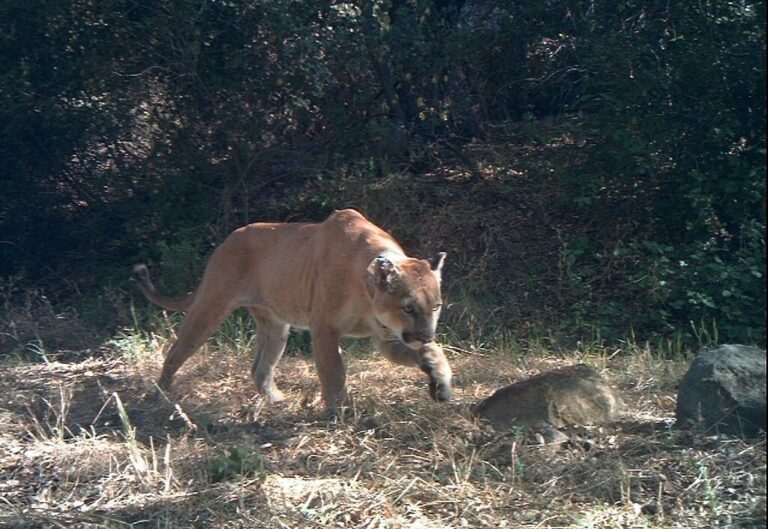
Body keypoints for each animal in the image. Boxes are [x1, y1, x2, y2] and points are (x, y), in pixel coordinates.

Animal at [132, 208, 452, 411]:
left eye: (436, 306)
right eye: (408, 307)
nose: (426, 334)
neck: (367, 288)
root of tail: (225, 241)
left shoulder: (386, 337)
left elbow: (428, 354)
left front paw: (439, 378)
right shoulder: (324, 328)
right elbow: (334, 371)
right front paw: (340, 412)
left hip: (276, 327)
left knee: (259, 368)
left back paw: (276, 400)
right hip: (210, 307)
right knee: (175, 352)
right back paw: (161, 397)